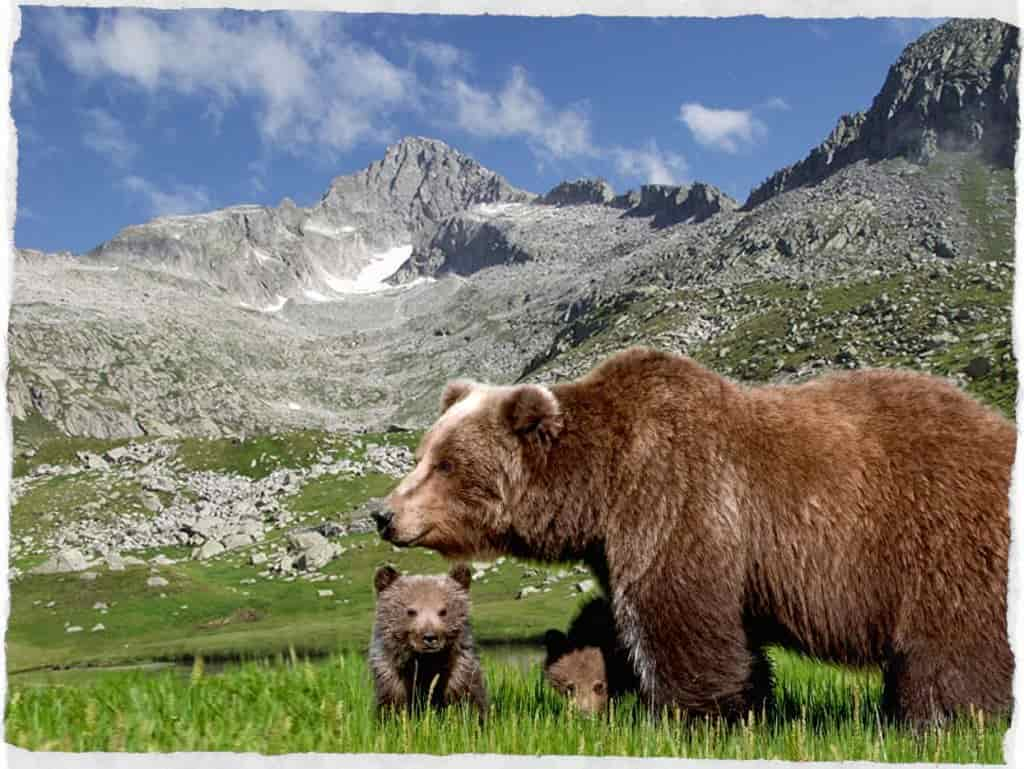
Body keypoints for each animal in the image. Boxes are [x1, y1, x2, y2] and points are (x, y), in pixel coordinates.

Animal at [370, 561, 489, 720]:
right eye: (411, 611)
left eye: (443, 611)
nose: (430, 637)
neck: (426, 663)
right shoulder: (392, 674)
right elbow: (392, 705)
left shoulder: (459, 671)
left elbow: (469, 700)